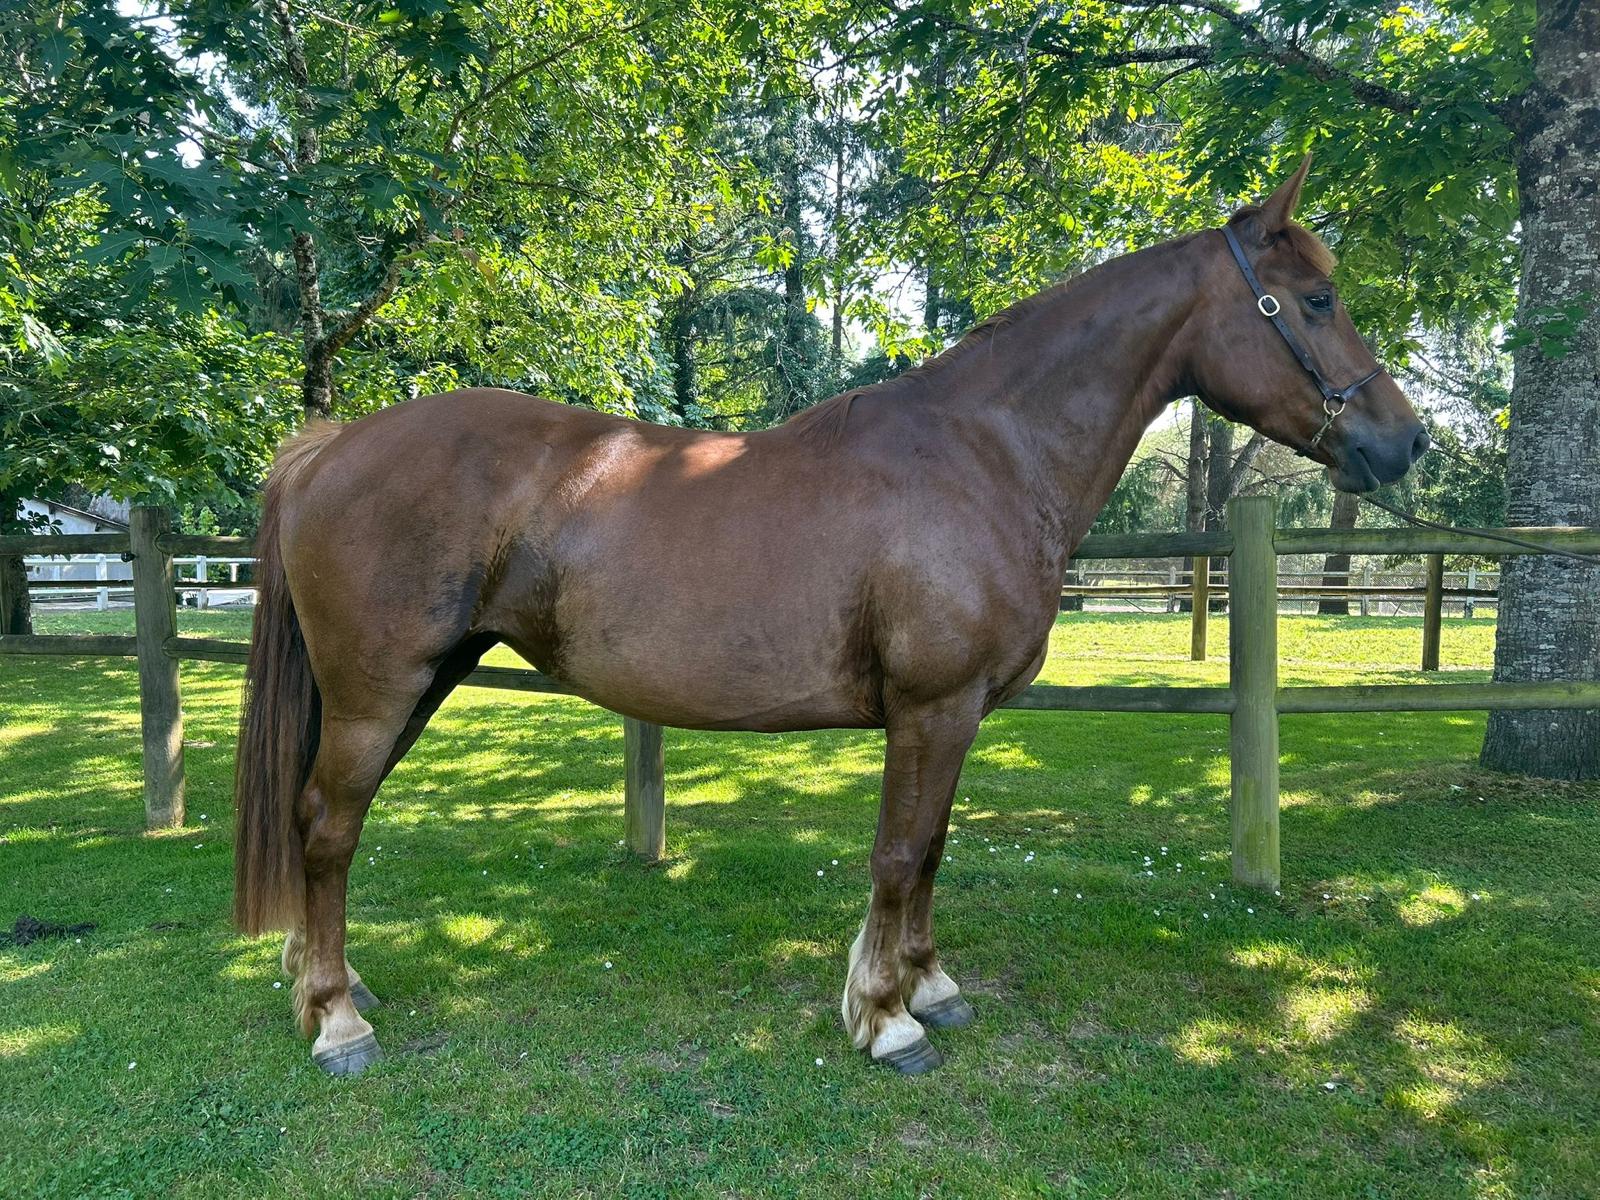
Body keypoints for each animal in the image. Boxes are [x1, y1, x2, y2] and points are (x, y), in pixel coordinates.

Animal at [233, 157, 1427, 1076]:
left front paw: (928, 985)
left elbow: (933, 850)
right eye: (1315, 301)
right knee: (327, 827)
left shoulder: (959, 716)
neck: (985, 451)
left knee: (317, 825)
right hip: (378, 690)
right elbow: (898, 855)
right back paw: (335, 1023)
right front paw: (887, 1021)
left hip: (413, 686)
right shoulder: (931, 707)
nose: (1404, 441)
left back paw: (330, 983)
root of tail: (331, 445)